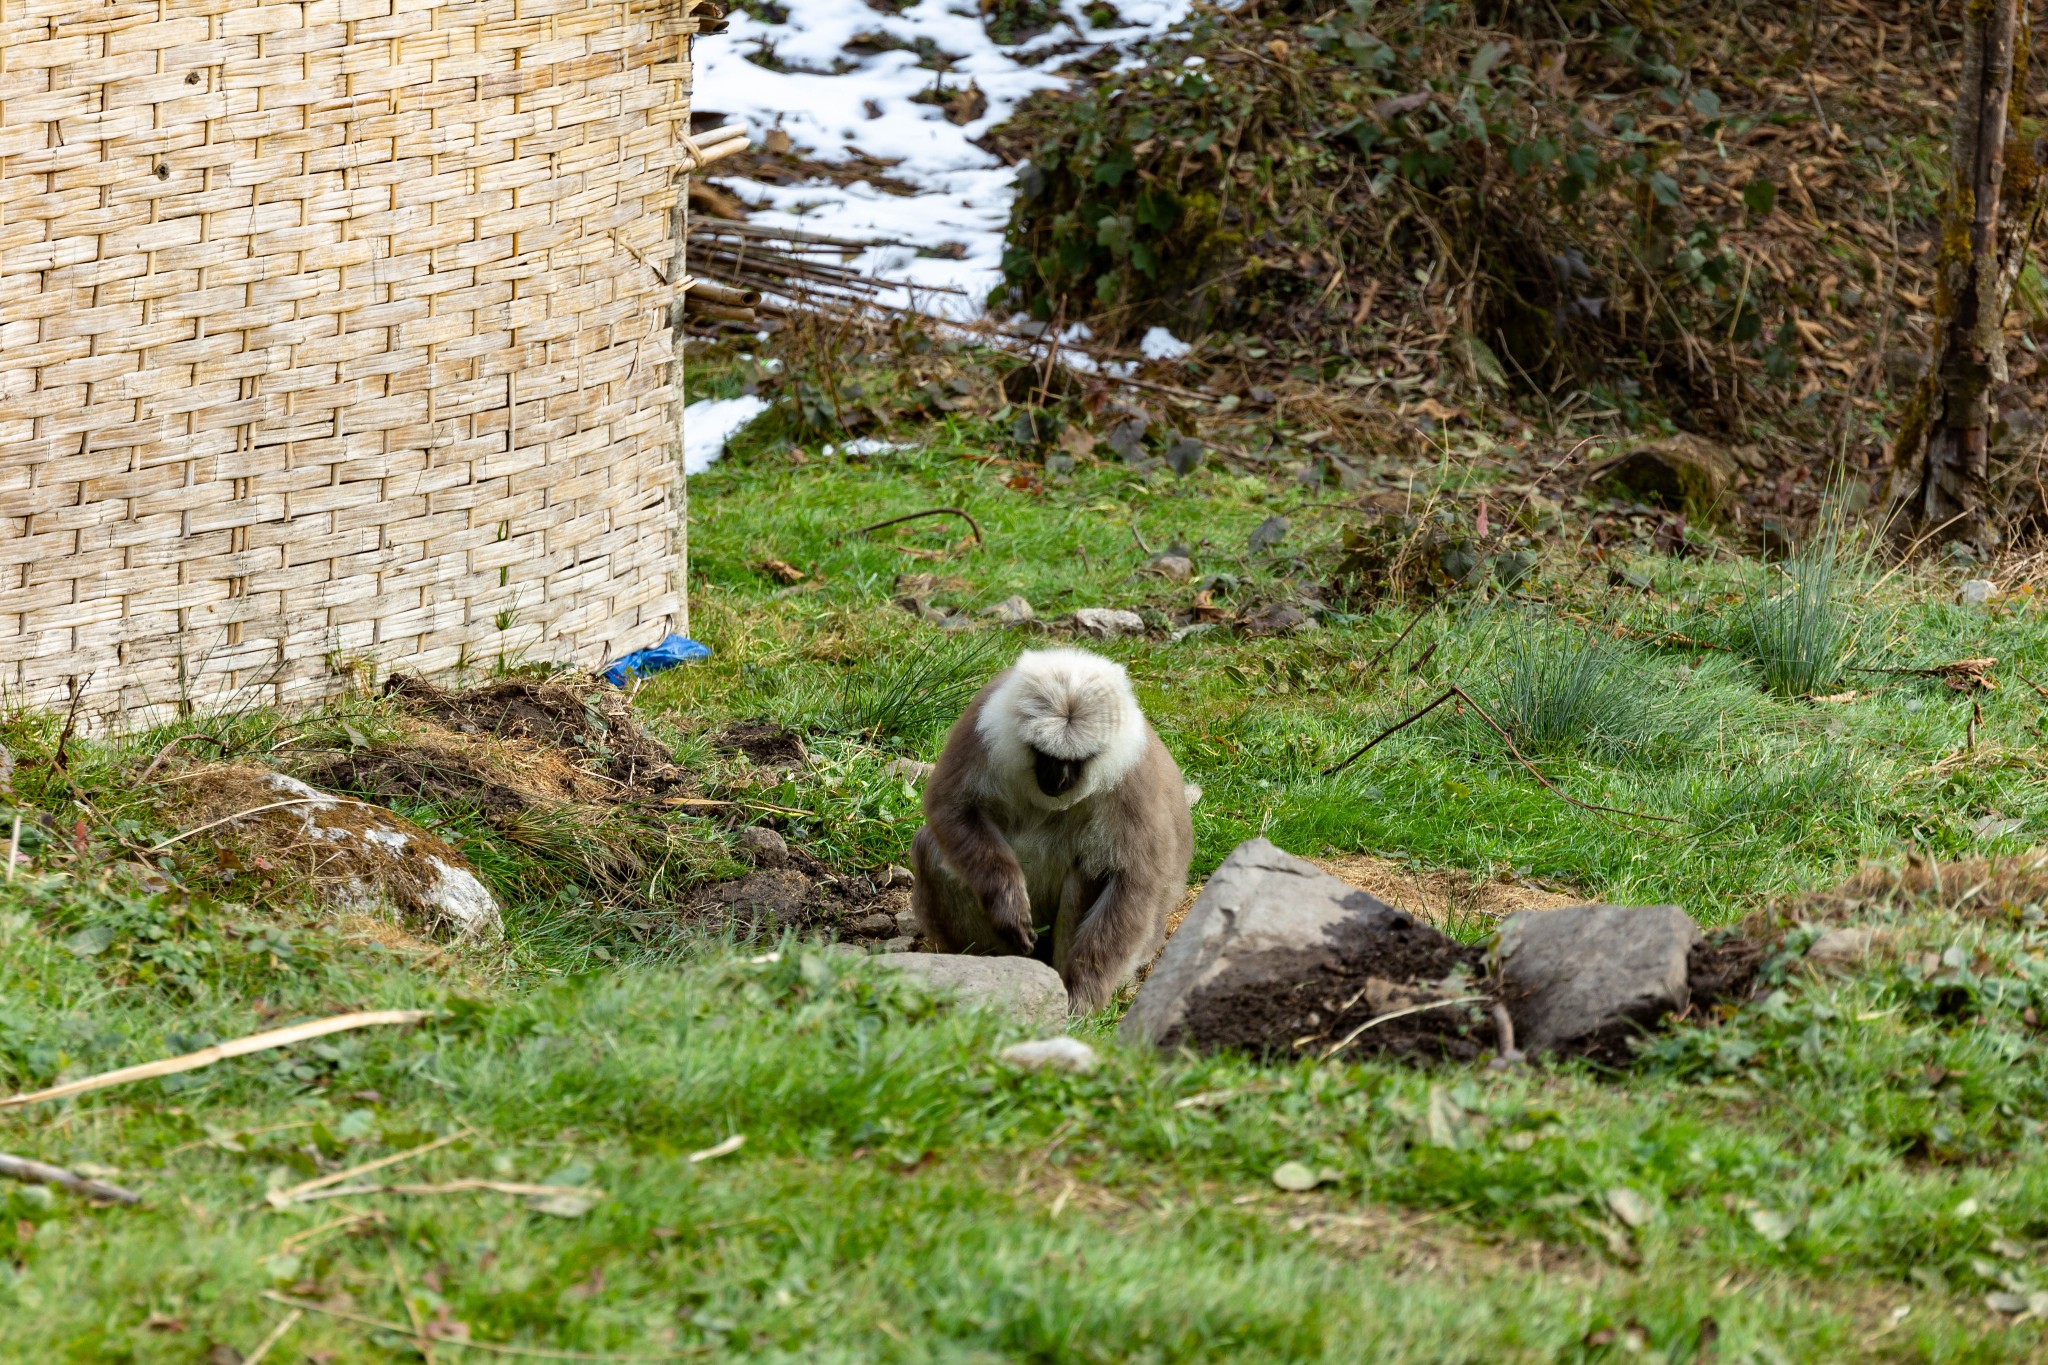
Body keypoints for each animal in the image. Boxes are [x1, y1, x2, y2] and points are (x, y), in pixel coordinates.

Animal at [917, 650, 1196, 1015]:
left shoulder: (1133, 779)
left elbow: (1135, 879)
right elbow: (951, 807)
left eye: (1079, 760)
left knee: (1091, 870)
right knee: (931, 847)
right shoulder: (980, 725)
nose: (1058, 778)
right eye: (1043, 755)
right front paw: (1007, 903)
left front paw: (1083, 994)